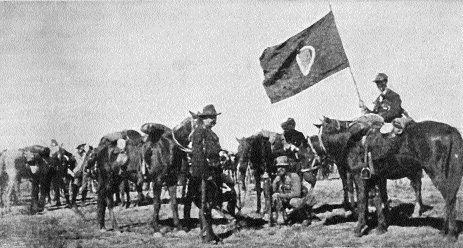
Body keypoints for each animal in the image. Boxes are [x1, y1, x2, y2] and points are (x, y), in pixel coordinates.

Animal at [320, 116, 463, 240]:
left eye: (322, 132)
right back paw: (444, 231)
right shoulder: (375, 178)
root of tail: (451, 130)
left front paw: (359, 228)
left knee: (449, 198)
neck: (354, 142)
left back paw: (450, 234)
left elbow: (362, 201)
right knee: (448, 198)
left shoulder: (360, 178)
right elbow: (377, 200)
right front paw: (381, 227)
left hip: (436, 174)